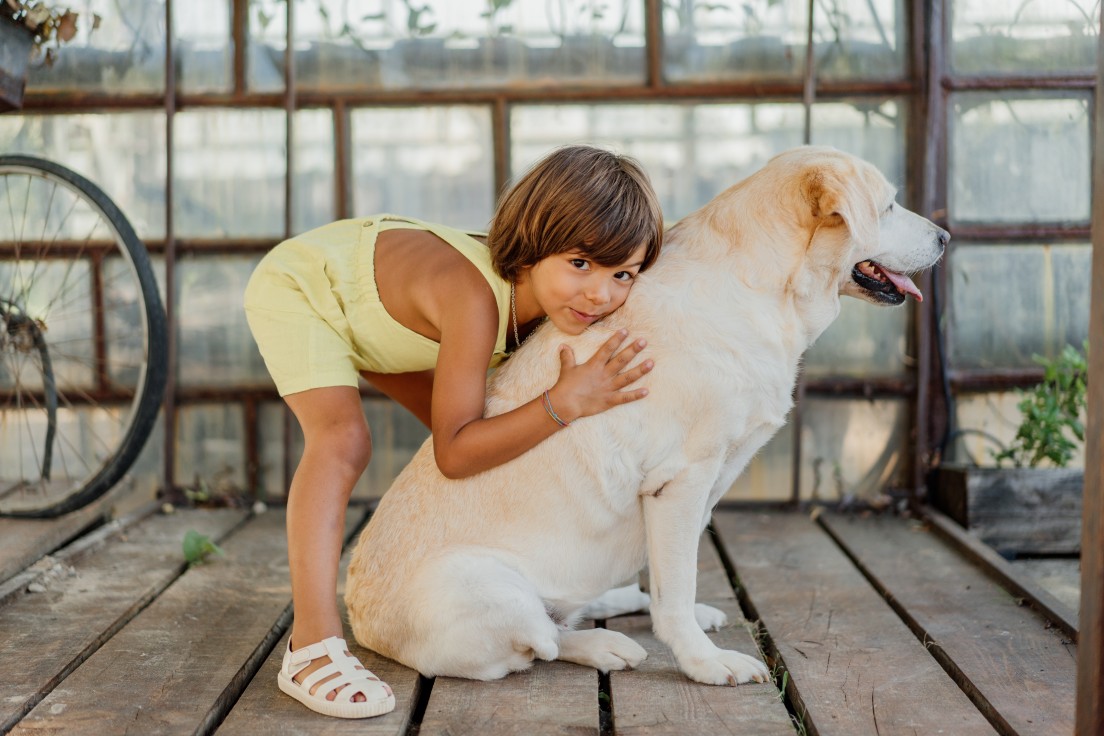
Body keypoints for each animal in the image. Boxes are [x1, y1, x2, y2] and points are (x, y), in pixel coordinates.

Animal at [346, 146, 949, 688]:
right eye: (889, 205)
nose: (946, 237)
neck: (762, 289)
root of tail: (357, 619)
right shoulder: (680, 480)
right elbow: (675, 587)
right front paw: (705, 664)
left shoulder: (704, 485)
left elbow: (675, 577)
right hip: (488, 590)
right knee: (541, 640)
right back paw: (605, 645)